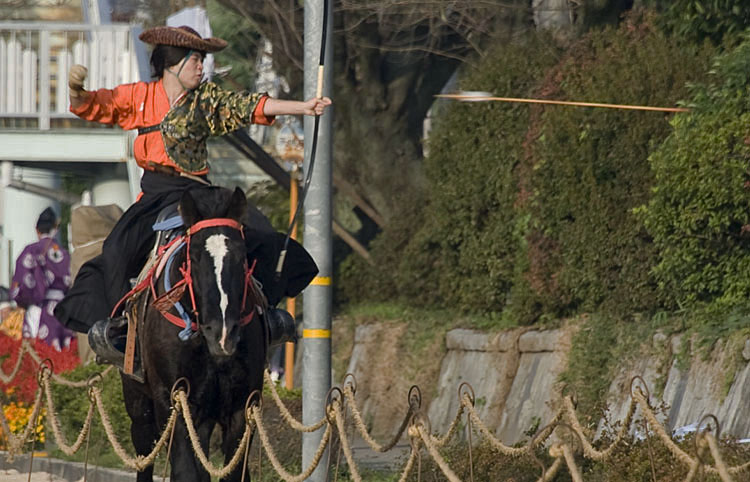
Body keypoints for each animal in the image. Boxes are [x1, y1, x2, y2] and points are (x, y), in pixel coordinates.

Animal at [125, 186, 270, 480]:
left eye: (242, 256)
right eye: (193, 257)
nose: (222, 334)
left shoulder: (242, 404)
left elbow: (234, 470)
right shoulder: (173, 399)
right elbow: (184, 470)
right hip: (139, 404)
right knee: (145, 451)